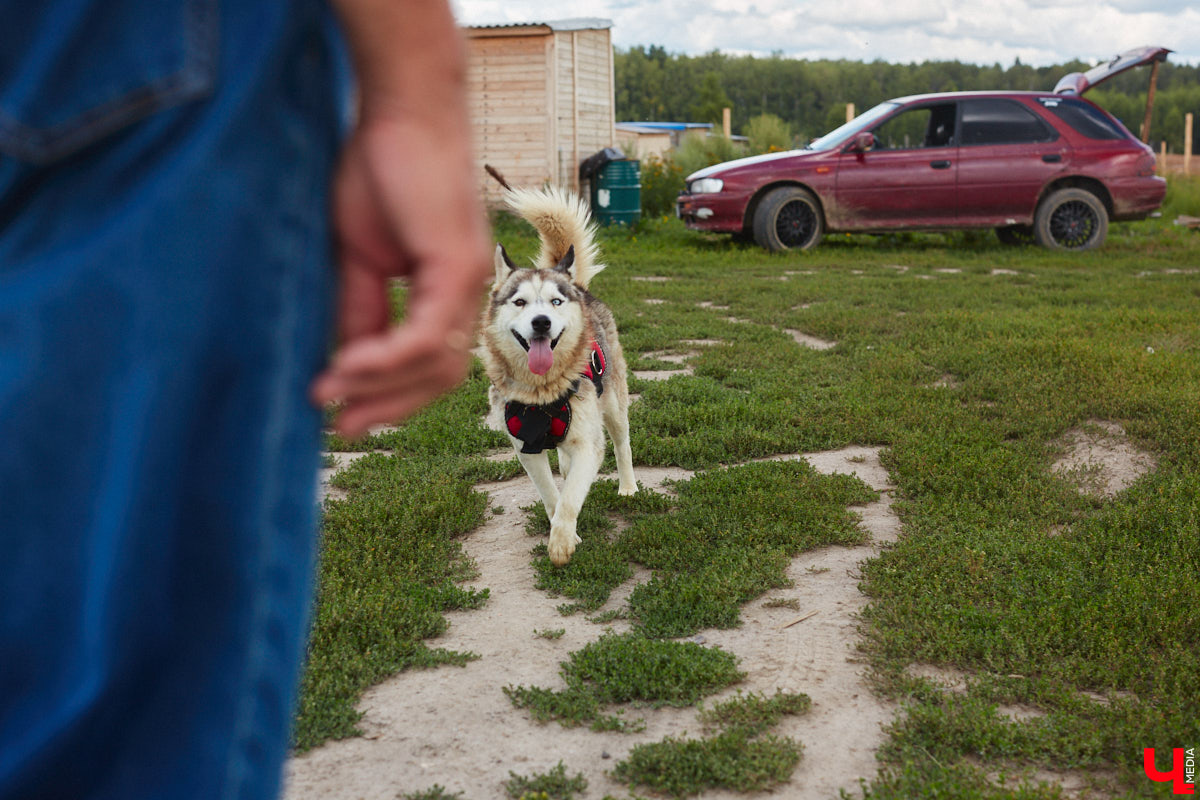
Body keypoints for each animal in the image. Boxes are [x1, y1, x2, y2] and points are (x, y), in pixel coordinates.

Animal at [482, 188, 643, 566]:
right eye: (520, 302)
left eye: (555, 302)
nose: (541, 322)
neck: (542, 393)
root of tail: (580, 287)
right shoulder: (526, 447)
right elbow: (552, 495)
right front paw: (565, 533)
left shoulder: (587, 443)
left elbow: (570, 498)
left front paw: (561, 543)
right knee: (564, 464)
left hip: (614, 407)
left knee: (622, 444)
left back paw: (628, 487)